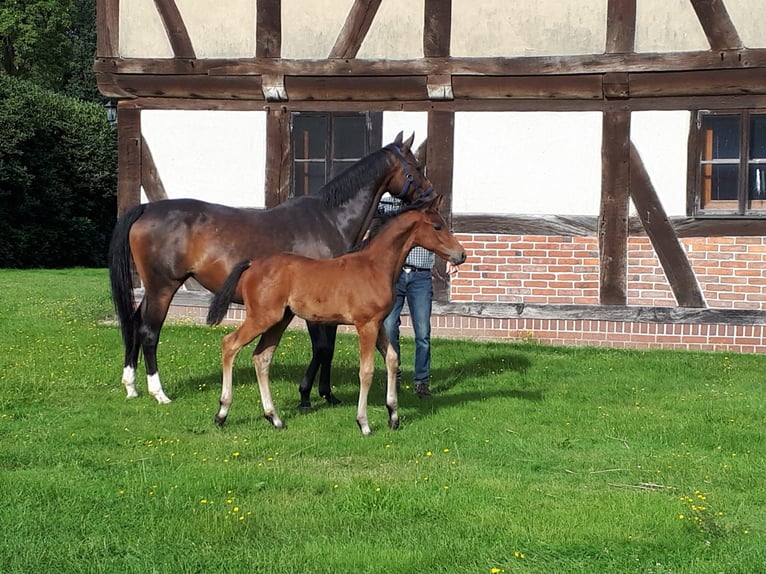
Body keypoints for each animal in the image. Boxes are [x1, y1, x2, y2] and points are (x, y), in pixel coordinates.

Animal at [109, 133, 436, 408]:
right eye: (416, 166)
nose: (432, 195)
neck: (329, 219)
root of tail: (147, 209)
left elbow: (327, 348)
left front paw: (326, 394)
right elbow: (322, 348)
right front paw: (308, 395)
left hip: (153, 289)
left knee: (134, 323)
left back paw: (131, 385)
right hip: (162, 287)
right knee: (149, 331)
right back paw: (158, 393)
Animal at [206, 197, 468, 436]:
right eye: (437, 226)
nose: (461, 255)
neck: (375, 267)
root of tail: (253, 264)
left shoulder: (379, 323)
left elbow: (392, 359)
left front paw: (393, 416)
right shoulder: (366, 325)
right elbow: (367, 371)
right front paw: (364, 423)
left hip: (279, 320)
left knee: (261, 357)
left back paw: (275, 418)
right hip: (262, 318)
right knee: (229, 344)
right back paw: (221, 414)